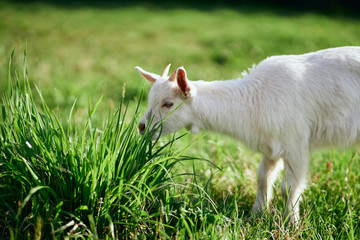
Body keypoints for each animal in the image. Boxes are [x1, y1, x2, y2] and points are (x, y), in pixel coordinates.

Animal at [134, 47, 360, 223]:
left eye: (168, 104)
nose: (141, 127)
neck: (256, 98)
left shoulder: (295, 144)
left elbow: (289, 187)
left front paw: (291, 223)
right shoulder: (271, 147)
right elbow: (263, 178)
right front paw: (256, 215)